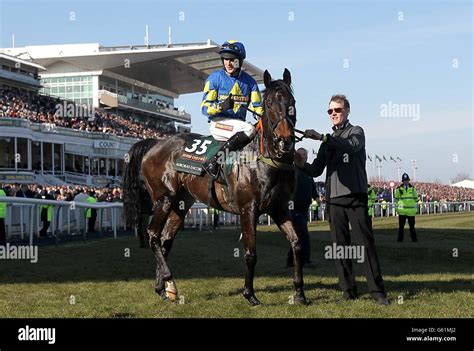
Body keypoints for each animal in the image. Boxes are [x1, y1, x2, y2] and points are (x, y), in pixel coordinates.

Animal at [124, 69, 306, 306]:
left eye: (291, 102)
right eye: (269, 104)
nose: (285, 141)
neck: (264, 159)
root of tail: (154, 142)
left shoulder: (279, 208)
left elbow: (297, 244)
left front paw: (299, 293)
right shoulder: (248, 209)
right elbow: (250, 253)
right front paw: (250, 294)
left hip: (181, 203)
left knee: (165, 240)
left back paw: (163, 288)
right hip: (163, 199)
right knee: (153, 235)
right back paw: (169, 280)